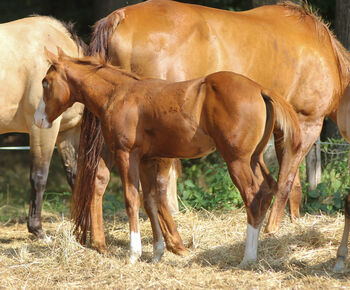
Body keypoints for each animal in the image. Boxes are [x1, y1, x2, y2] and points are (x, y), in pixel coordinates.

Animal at [34, 49, 300, 266]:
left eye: (45, 82)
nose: (38, 120)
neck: (118, 95)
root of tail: (259, 89)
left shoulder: (126, 154)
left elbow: (131, 199)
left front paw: (134, 254)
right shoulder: (146, 159)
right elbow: (149, 200)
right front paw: (157, 252)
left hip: (237, 161)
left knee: (253, 197)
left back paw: (248, 257)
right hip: (254, 158)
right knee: (267, 188)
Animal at [73, 1, 350, 266]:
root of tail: (120, 17)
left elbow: (290, 182)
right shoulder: (307, 124)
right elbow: (287, 180)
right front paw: (275, 227)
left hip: (117, 139)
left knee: (100, 177)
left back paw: (100, 243)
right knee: (157, 192)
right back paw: (175, 244)